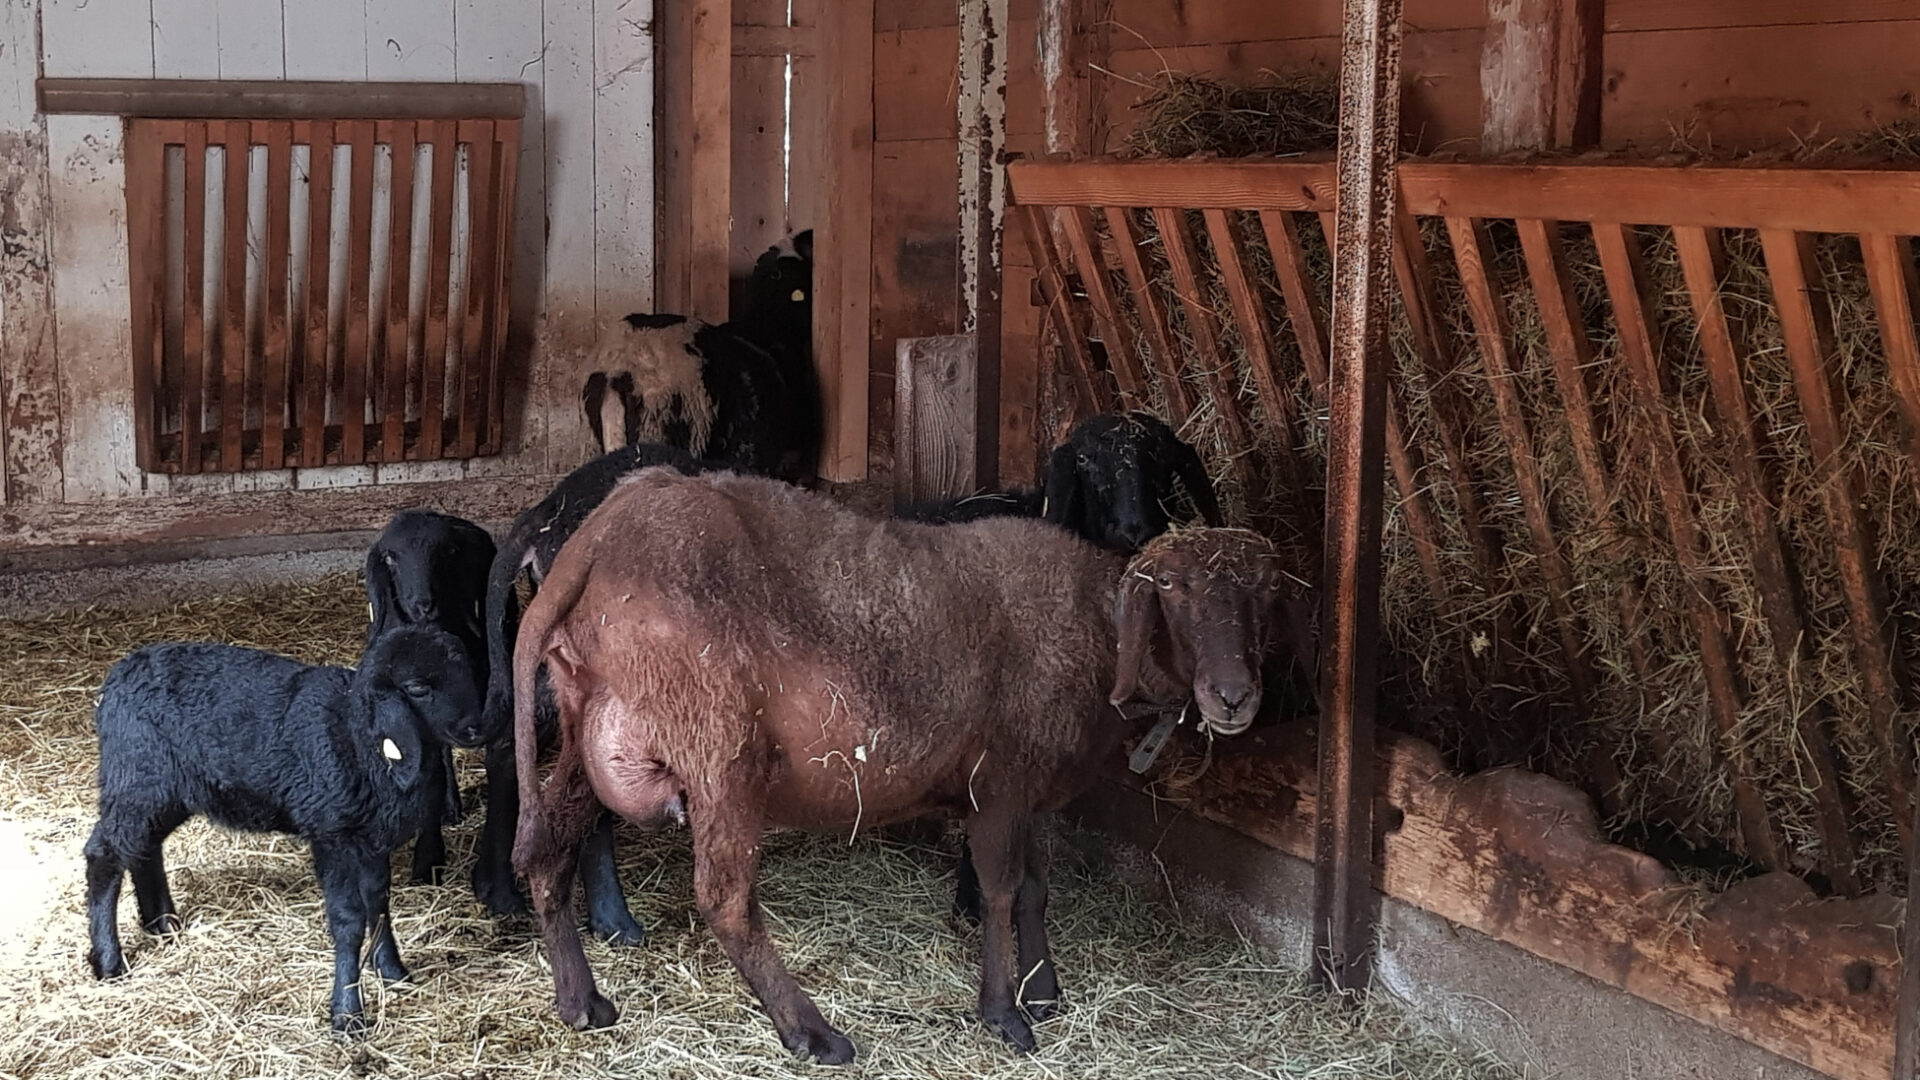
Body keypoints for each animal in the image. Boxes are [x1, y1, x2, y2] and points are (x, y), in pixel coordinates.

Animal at [83, 625, 479, 1035]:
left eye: (467, 671)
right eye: (417, 688)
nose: (474, 729)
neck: (358, 734)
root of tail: (115, 679)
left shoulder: (369, 838)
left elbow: (378, 903)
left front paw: (391, 971)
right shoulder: (331, 833)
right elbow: (349, 920)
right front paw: (348, 1013)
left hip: (164, 790)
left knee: (143, 848)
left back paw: (162, 924)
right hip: (136, 776)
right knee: (105, 854)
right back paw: (109, 961)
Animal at [508, 468, 1289, 1061]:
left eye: (1262, 594)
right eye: (1174, 592)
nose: (1235, 697)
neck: (1094, 630)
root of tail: (598, 537)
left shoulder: (1023, 784)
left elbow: (1034, 891)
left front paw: (1044, 990)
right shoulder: (1001, 781)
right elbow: (1000, 891)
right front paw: (1005, 1015)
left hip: (593, 732)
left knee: (547, 851)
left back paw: (581, 1002)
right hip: (718, 749)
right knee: (724, 898)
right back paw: (812, 1032)